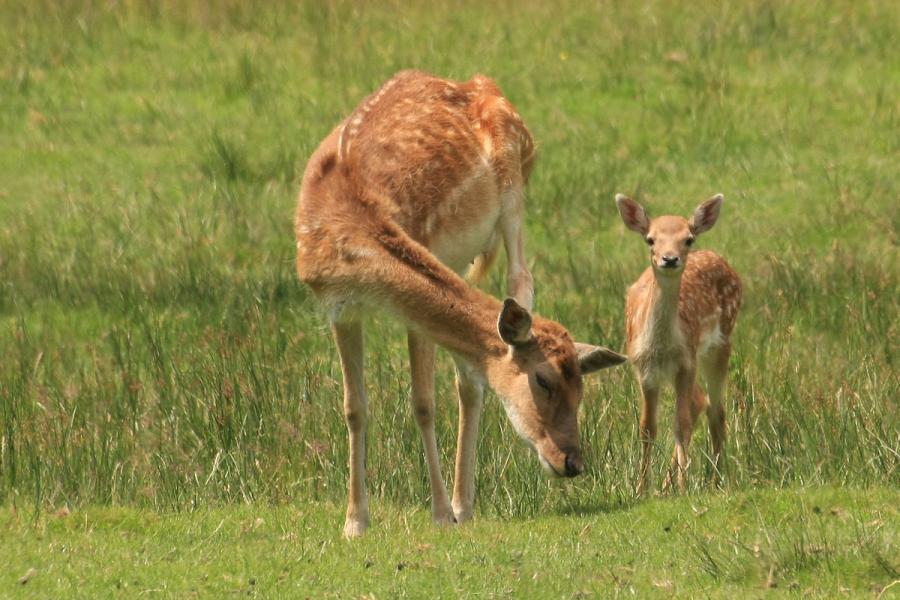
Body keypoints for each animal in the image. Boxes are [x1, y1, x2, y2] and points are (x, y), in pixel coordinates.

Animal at [296, 71, 624, 540]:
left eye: (581, 385)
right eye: (543, 380)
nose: (573, 462)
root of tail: (480, 83)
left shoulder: (416, 299)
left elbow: (422, 403)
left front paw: (439, 514)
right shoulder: (339, 307)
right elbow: (354, 407)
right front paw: (355, 522)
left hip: (514, 191)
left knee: (519, 280)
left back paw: (460, 505)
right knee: (470, 378)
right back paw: (462, 504)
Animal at [616, 195, 740, 494]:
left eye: (688, 239)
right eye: (650, 239)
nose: (669, 259)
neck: (661, 346)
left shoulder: (686, 362)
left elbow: (680, 425)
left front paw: (684, 488)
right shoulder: (643, 369)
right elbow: (647, 428)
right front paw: (642, 489)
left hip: (720, 344)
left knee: (716, 411)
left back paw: (715, 480)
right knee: (700, 400)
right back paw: (666, 485)